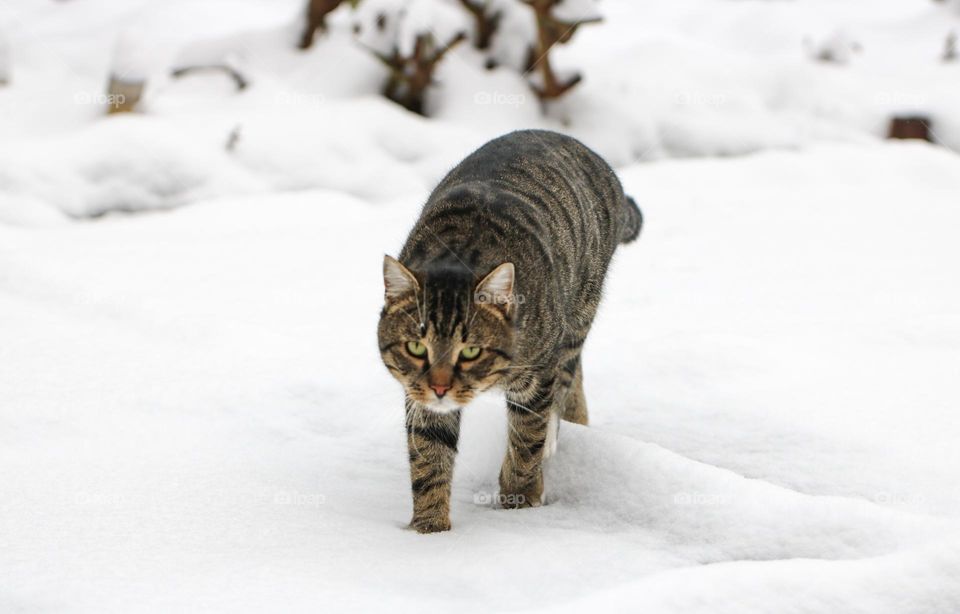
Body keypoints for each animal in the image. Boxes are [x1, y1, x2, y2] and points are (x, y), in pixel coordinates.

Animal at [378, 129, 640, 536]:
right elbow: (429, 460)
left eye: (471, 351)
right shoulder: (419, 396)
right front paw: (429, 530)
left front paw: (520, 502)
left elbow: (526, 439)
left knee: (568, 373)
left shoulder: (537, 374)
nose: (440, 388)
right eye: (416, 347)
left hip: (577, 312)